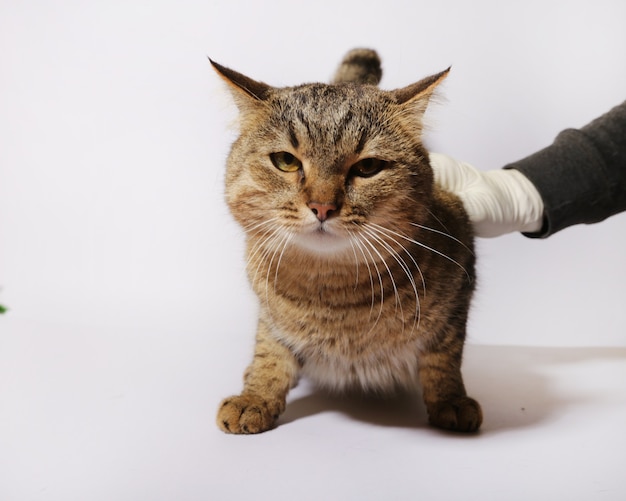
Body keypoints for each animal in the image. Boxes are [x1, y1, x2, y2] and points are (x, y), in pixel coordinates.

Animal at [212, 49, 480, 434]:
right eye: (286, 161)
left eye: (367, 167)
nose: (322, 206)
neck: (334, 297)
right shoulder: (269, 314)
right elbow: (270, 351)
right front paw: (256, 396)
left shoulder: (461, 276)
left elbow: (443, 356)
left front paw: (451, 400)